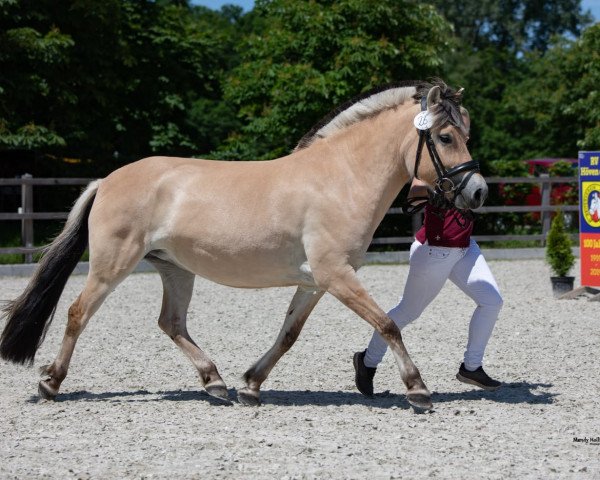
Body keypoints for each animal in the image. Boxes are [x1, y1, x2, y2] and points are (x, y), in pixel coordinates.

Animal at [0, 79, 488, 408]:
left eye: (466, 134)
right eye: (445, 136)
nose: (479, 191)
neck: (341, 178)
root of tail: (107, 181)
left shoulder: (315, 282)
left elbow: (288, 334)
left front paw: (251, 384)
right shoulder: (336, 275)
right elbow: (388, 325)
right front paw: (418, 389)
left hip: (175, 269)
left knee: (171, 323)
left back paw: (215, 382)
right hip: (111, 265)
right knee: (78, 313)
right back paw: (50, 383)